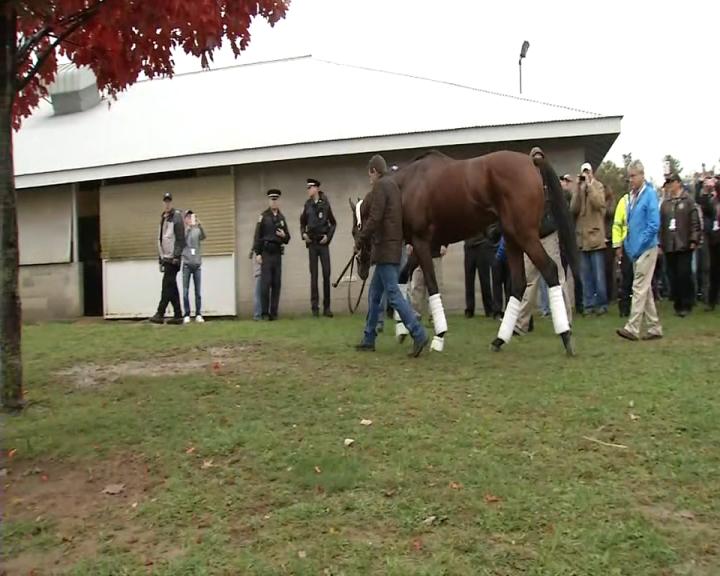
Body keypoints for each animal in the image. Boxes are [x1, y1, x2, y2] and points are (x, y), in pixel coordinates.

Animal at [348, 148, 580, 356]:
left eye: (354, 231)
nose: (360, 269)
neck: (408, 186)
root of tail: (531, 161)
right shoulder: (426, 245)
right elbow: (403, 276)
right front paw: (402, 329)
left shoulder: (422, 243)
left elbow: (431, 284)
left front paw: (438, 336)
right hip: (512, 238)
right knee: (519, 283)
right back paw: (499, 340)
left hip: (525, 235)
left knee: (549, 269)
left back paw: (566, 336)